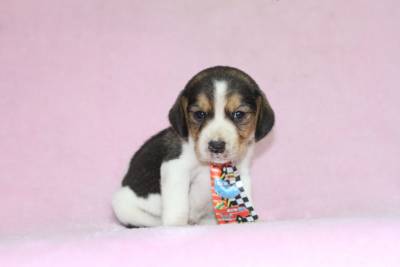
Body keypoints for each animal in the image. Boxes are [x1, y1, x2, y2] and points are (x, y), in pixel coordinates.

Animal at [112, 66, 276, 227]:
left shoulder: (242, 173)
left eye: (239, 114)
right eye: (199, 114)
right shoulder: (175, 168)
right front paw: (177, 225)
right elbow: (178, 205)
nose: (216, 146)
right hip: (123, 207)